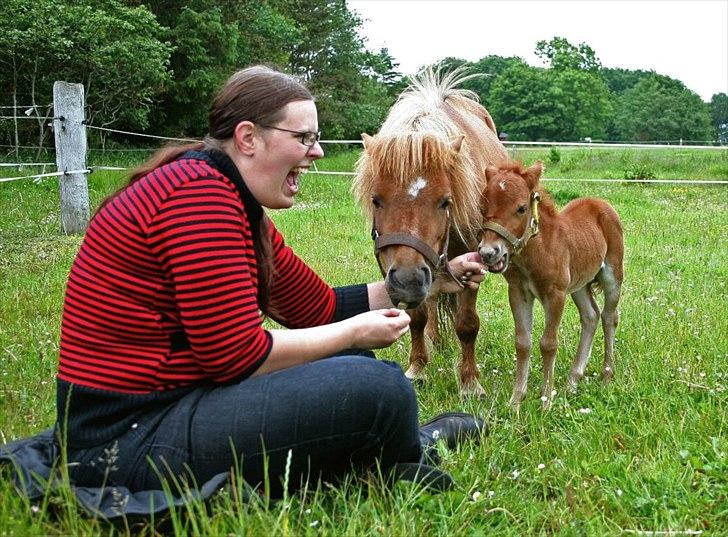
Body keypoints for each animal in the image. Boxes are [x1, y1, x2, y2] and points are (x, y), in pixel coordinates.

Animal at [352, 69, 506, 396]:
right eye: (376, 200)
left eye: (445, 201)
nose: (408, 280)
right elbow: (417, 317)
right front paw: (418, 367)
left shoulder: (471, 264)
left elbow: (467, 324)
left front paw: (469, 381)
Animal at [478, 159, 624, 410]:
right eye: (482, 206)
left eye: (521, 208)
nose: (489, 253)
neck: (537, 250)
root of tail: (600, 203)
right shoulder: (518, 293)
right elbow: (522, 343)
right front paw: (516, 400)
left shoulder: (555, 294)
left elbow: (548, 344)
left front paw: (546, 401)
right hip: (579, 284)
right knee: (591, 316)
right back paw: (573, 382)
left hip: (613, 275)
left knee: (609, 317)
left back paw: (606, 376)